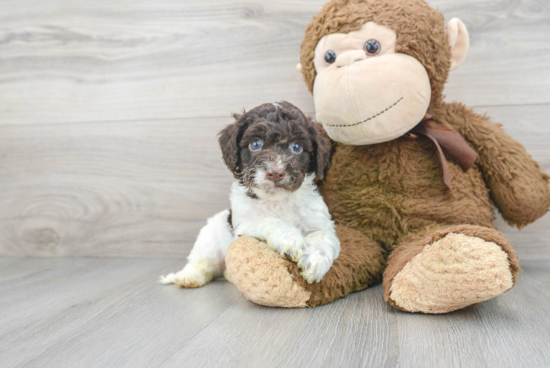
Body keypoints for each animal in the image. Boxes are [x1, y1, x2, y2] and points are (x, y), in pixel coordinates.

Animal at [162, 101, 338, 288]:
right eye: (255, 144)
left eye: (296, 147)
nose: (276, 173)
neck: (278, 201)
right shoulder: (244, 226)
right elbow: (269, 221)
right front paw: (290, 238)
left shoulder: (323, 224)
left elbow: (323, 236)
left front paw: (315, 262)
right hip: (208, 239)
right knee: (202, 262)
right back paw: (188, 276)